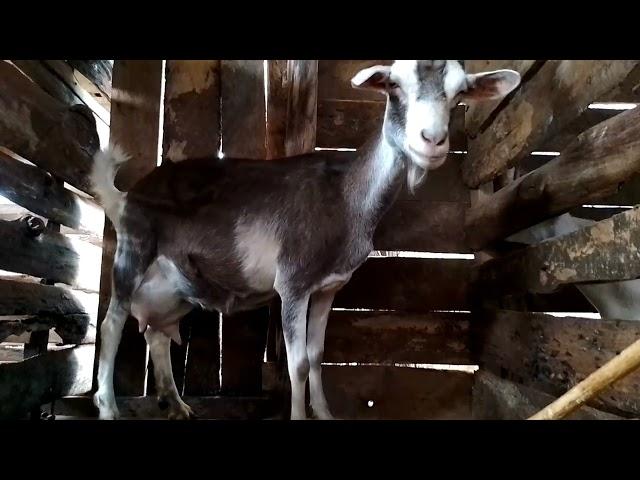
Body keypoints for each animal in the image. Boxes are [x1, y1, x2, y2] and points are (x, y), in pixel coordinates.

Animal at [92, 61, 524, 420]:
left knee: (156, 334)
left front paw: (326, 412)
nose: (432, 140)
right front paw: (301, 415)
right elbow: (296, 363)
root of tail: (128, 195)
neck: (345, 197)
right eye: (393, 86)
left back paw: (178, 405)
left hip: (178, 285)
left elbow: (316, 356)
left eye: (460, 92)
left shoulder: (328, 287)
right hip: (134, 249)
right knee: (113, 323)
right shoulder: (293, 284)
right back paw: (108, 406)